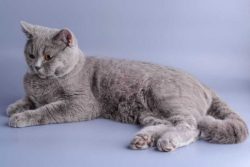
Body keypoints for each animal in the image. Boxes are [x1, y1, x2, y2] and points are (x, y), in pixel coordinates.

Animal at [6, 20, 249, 151]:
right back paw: (144, 139)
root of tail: (204, 83)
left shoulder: (80, 104)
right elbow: (28, 99)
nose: (36, 66)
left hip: (166, 97)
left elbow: (46, 109)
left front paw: (19, 117)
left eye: (48, 56)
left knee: (192, 127)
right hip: (148, 113)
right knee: (170, 124)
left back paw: (166, 140)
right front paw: (13, 107)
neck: (42, 82)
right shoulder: (34, 93)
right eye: (30, 54)